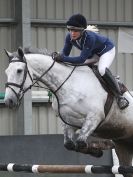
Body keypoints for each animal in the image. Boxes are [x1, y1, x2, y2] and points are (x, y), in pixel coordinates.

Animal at [3, 47, 133, 177]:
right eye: (6, 72)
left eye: (19, 70)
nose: (9, 101)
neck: (69, 85)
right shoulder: (69, 122)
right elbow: (71, 145)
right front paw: (97, 150)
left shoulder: (94, 117)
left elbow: (80, 142)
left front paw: (100, 147)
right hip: (123, 145)